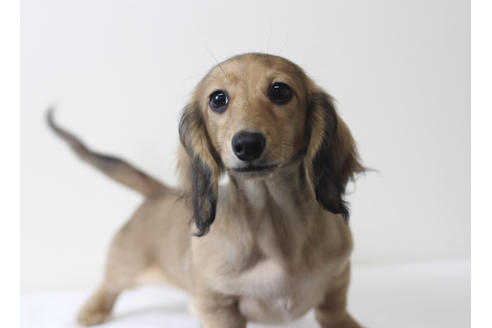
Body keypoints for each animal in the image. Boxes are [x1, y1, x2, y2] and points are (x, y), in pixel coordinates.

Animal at [48, 53, 366, 328]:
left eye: (280, 91)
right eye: (218, 99)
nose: (247, 144)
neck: (276, 227)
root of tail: (158, 192)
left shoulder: (338, 277)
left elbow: (333, 312)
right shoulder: (215, 304)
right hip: (127, 264)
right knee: (109, 283)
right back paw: (93, 309)